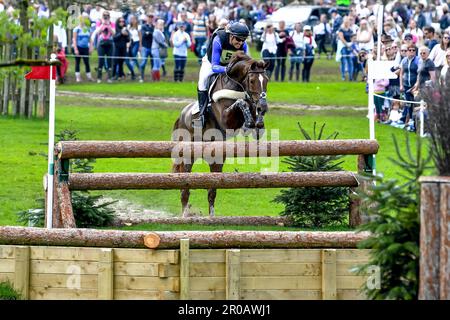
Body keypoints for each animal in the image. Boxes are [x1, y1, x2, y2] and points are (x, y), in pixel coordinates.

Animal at [171, 52, 268, 218]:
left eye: (266, 80)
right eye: (252, 80)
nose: (264, 106)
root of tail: (181, 116)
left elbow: (250, 107)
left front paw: (257, 123)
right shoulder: (226, 119)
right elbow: (241, 102)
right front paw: (249, 120)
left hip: (216, 159)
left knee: (212, 189)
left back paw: (211, 216)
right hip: (188, 154)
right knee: (185, 187)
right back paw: (185, 214)